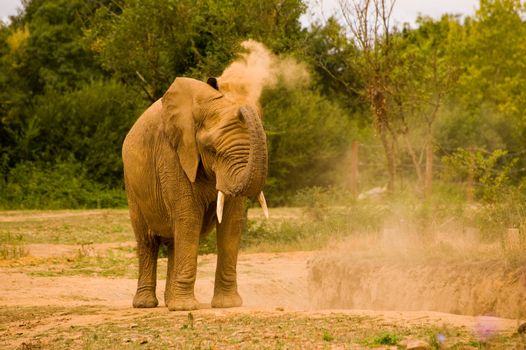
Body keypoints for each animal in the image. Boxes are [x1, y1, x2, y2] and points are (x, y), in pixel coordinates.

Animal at [122, 77, 268, 312]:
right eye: (212, 150)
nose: (243, 108)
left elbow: (231, 222)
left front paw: (227, 305)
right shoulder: (172, 153)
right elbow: (189, 217)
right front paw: (185, 309)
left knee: (174, 240)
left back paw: (170, 301)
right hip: (132, 185)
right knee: (147, 241)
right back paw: (146, 305)